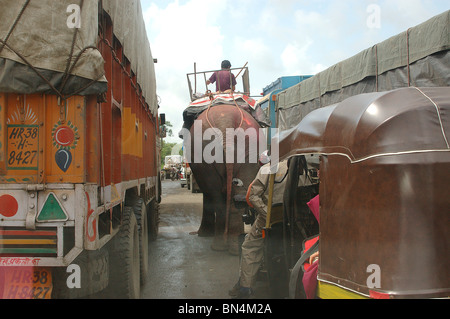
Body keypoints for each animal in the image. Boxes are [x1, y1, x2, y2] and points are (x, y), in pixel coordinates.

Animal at [184, 104, 264, 255]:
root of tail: (226, 122)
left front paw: (204, 235)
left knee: (216, 195)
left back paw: (219, 246)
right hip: (249, 149)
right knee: (236, 196)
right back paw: (233, 247)